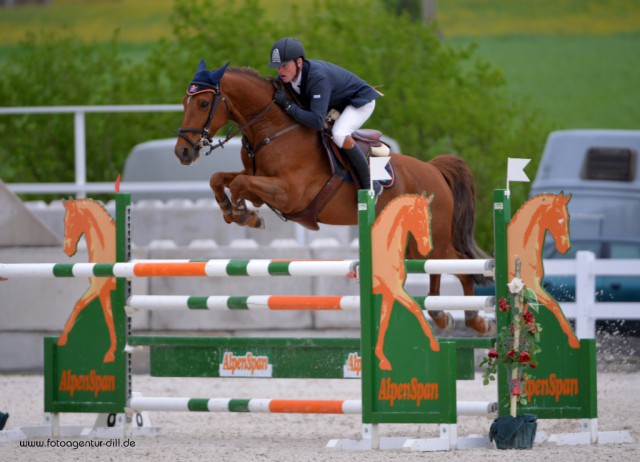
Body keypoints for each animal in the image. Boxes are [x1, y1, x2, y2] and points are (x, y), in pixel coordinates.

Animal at [172, 61, 492, 336]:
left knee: (461, 266)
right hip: (416, 243)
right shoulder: (260, 182)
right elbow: (221, 178)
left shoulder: (290, 194)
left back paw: (476, 320)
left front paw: (244, 214)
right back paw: (440, 314)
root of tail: (435, 170)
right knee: (436, 268)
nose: (182, 152)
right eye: (186, 102)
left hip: (435, 237)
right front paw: (233, 211)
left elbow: (239, 184)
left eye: (203, 103)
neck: (273, 130)